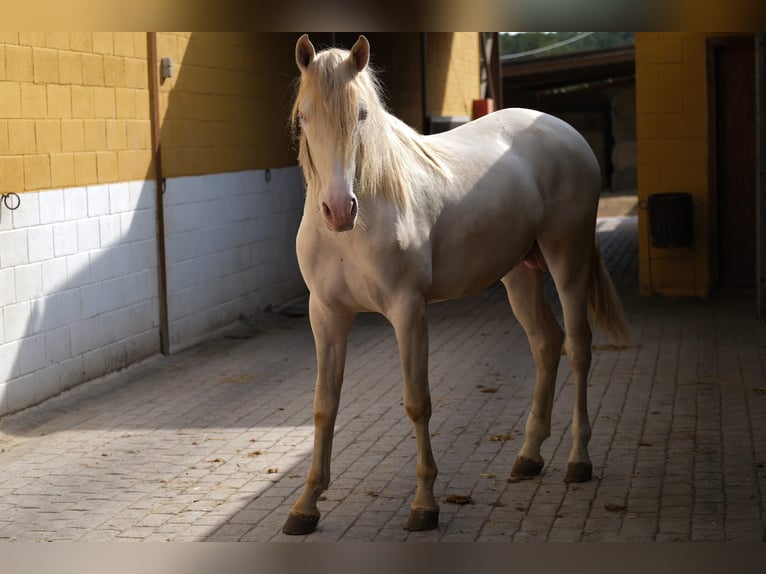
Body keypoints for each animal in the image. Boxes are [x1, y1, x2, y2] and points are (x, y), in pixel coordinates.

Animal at [282, 35, 632, 540]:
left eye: (362, 115)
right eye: (306, 115)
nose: (338, 209)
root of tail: (564, 131)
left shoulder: (409, 311)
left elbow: (417, 402)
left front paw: (425, 505)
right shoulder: (326, 316)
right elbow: (324, 406)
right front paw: (306, 506)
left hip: (568, 259)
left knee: (579, 348)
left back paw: (578, 460)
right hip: (520, 273)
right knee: (547, 344)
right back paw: (529, 456)